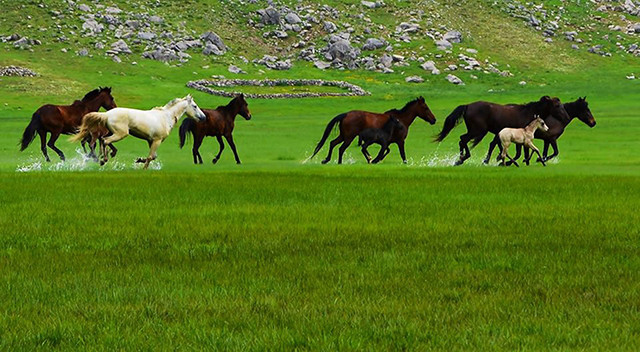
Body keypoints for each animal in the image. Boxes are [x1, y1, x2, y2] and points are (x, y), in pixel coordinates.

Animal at [73, 95, 208, 169]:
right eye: (195, 106)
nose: (203, 117)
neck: (165, 117)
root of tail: (106, 114)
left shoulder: (151, 141)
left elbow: (153, 156)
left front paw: (138, 160)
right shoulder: (157, 140)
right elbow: (150, 157)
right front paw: (143, 168)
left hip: (112, 132)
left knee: (102, 140)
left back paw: (102, 156)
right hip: (121, 134)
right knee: (105, 141)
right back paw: (103, 159)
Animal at [308, 97, 436, 164]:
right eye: (425, 108)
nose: (434, 120)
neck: (401, 120)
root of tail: (346, 114)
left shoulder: (387, 142)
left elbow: (386, 151)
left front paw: (374, 159)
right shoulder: (400, 141)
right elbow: (402, 155)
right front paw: (374, 159)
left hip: (344, 135)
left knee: (332, 143)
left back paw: (326, 160)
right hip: (349, 137)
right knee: (341, 148)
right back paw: (339, 162)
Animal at [436, 95, 568, 166]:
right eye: (557, 106)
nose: (566, 118)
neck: (528, 113)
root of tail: (468, 105)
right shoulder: (521, 138)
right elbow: (520, 153)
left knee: (462, 140)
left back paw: (461, 159)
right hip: (478, 131)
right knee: (463, 139)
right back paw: (462, 158)